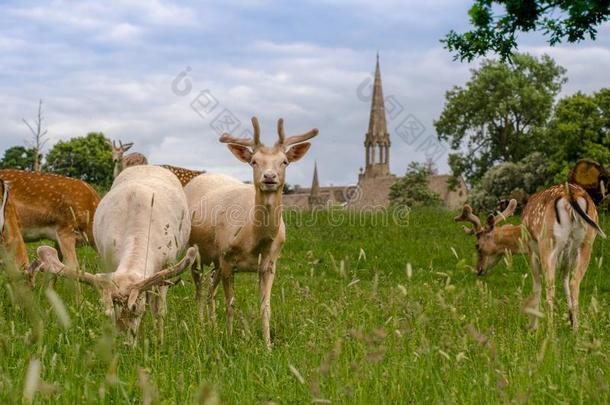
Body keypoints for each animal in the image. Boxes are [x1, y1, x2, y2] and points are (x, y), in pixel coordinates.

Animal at [28, 164, 196, 340]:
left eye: (135, 309)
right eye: (111, 312)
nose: (125, 342)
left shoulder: (169, 263)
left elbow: (160, 311)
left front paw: (159, 341)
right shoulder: (108, 260)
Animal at [184, 117, 318, 348]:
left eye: (284, 161)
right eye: (254, 161)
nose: (269, 177)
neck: (254, 241)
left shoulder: (269, 264)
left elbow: (266, 307)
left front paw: (268, 346)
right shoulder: (227, 257)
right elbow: (230, 303)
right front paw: (229, 341)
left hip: (216, 260)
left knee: (210, 291)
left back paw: (212, 328)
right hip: (197, 252)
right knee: (199, 291)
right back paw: (200, 329)